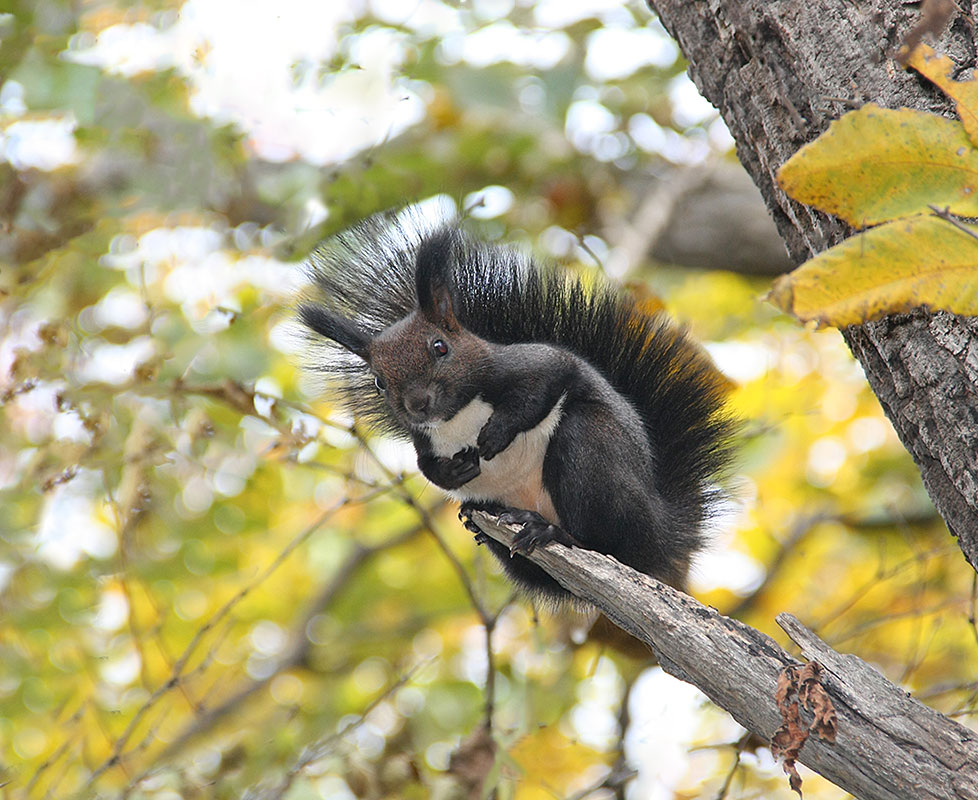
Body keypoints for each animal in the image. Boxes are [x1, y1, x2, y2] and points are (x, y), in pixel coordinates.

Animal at [298, 212, 732, 600]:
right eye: (379, 381)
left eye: (440, 346)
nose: (419, 404)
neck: (458, 418)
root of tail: (661, 533)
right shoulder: (425, 439)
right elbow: (427, 467)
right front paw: (453, 470)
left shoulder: (527, 364)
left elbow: (544, 383)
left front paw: (496, 434)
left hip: (594, 453)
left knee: (605, 542)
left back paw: (552, 531)